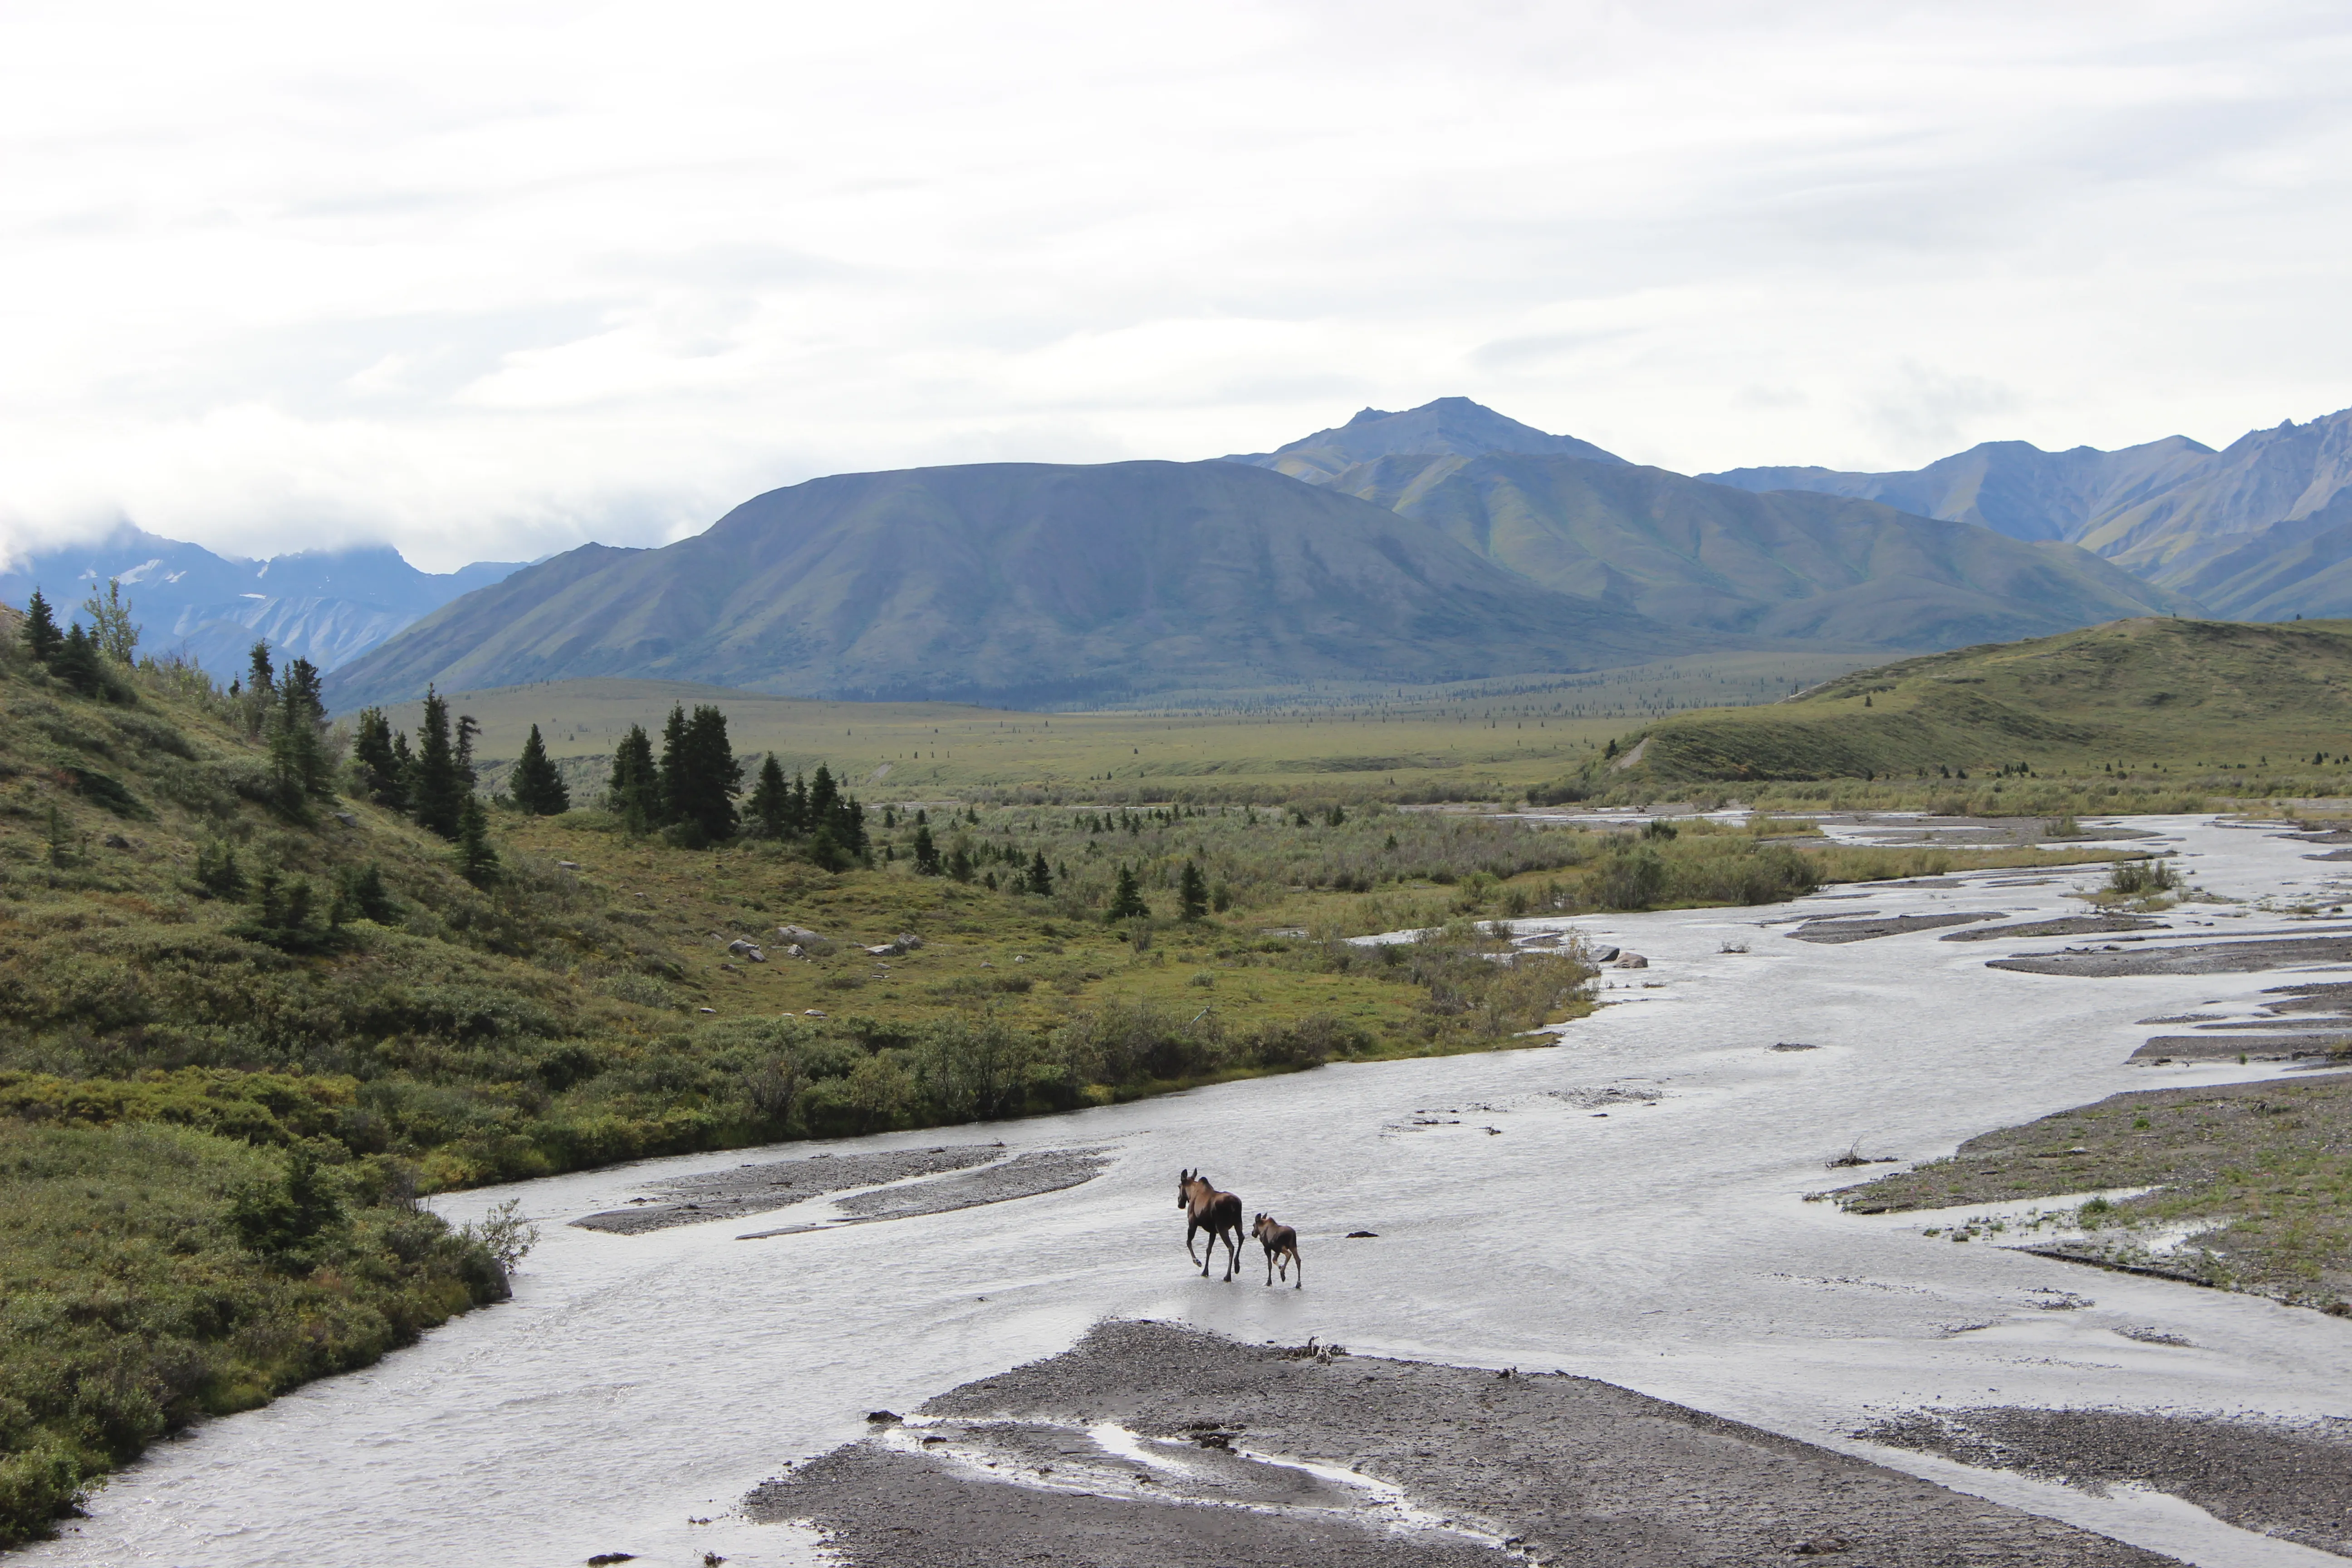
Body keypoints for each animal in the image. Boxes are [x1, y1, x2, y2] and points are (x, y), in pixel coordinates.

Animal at [1177, 1168, 1244, 1280]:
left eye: (1179, 1186)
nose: (1179, 1203)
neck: (1191, 1194)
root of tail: (1235, 1205)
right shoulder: (1213, 1231)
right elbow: (1209, 1249)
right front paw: (1205, 1272)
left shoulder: (1192, 1223)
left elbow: (1188, 1242)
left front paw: (1197, 1262)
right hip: (1238, 1222)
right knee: (1242, 1238)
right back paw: (1237, 1266)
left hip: (1222, 1227)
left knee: (1231, 1247)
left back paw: (1228, 1276)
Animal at [1252, 1213, 1301, 1289]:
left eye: (1254, 1225)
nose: (1253, 1233)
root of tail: (1292, 1234)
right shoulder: (1276, 1250)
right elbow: (1274, 1260)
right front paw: (1281, 1267)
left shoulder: (1267, 1248)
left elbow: (1270, 1265)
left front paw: (1269, 1282)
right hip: (1293, 1246)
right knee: (1298, 1260)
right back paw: (1298, 1284)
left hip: (1282, 1247)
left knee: (1289, 1254)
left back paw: (1282, 1275)